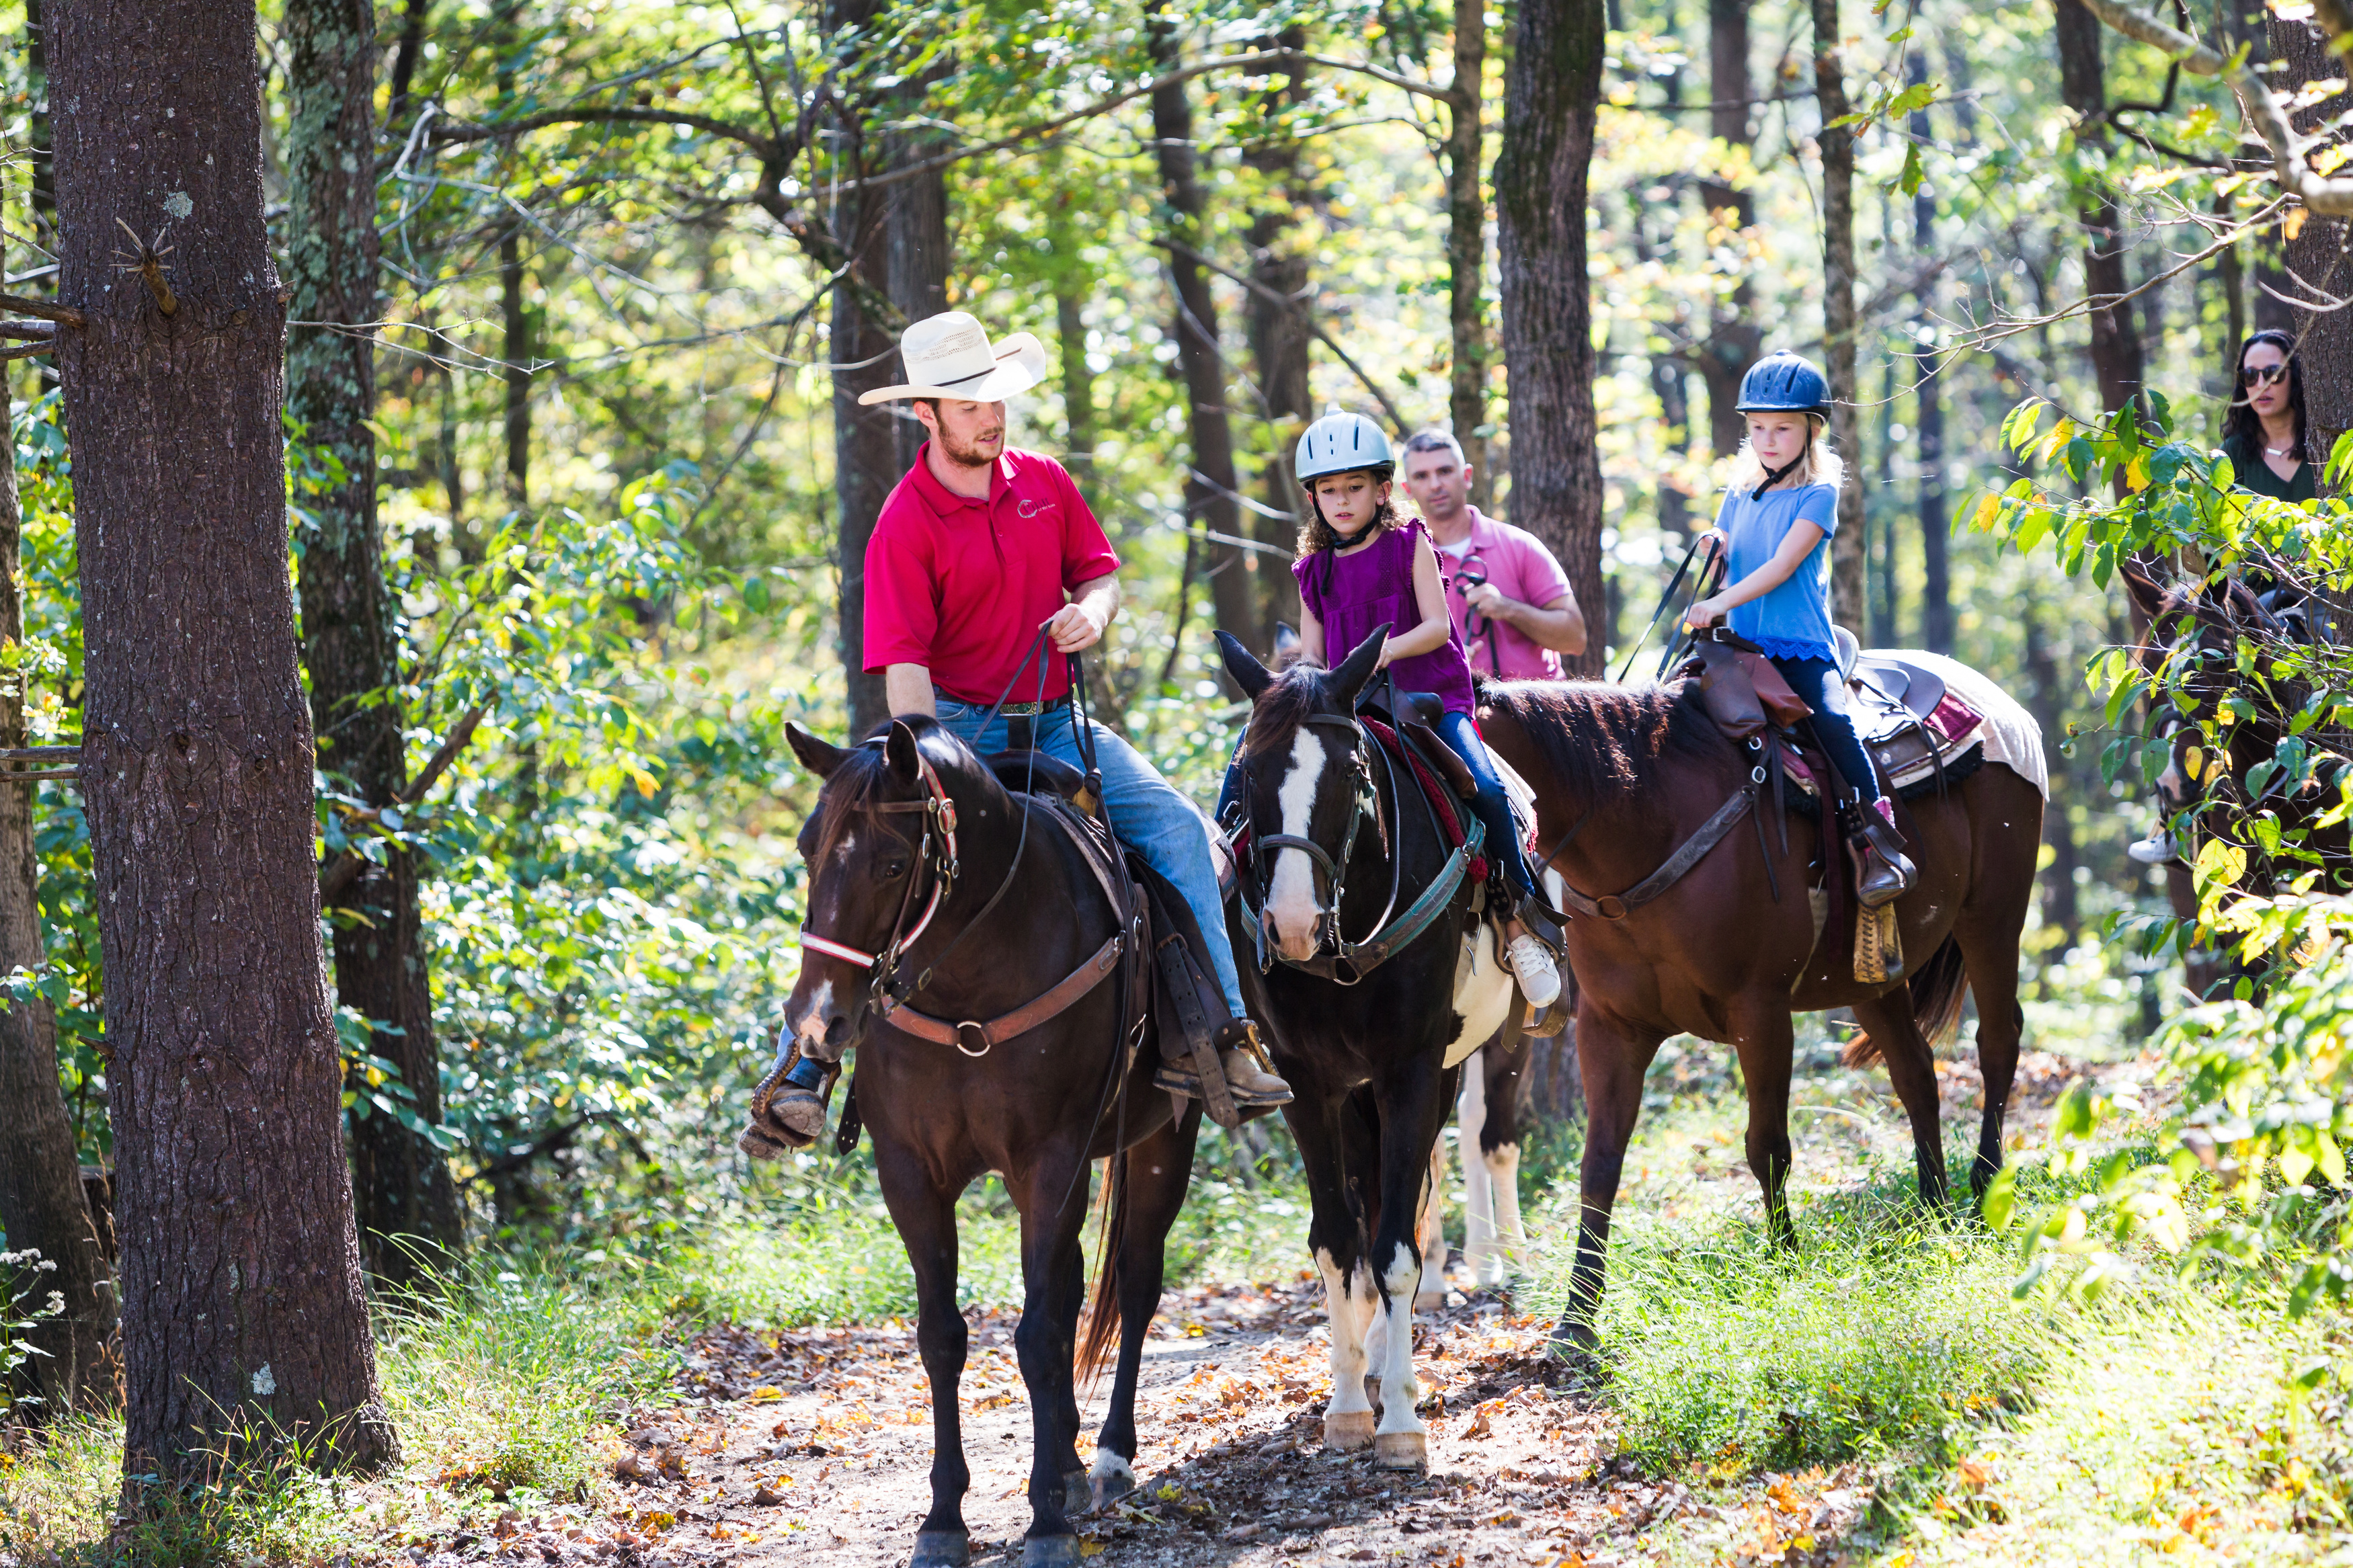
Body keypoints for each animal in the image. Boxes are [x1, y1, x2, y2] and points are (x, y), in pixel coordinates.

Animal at [781, 724, 1205, 1568]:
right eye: (809, 850)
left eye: (891, 863)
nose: (817, 1019)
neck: (966, 983)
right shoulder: (909, 1173)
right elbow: (942, 1335)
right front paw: (943, 1516)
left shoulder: (1050, 1160)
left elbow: (1039, 1334)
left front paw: (1045, 1521)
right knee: (1074, 1288)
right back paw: (1070, 1459)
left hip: (1163, 1137)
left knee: (1134, 1284)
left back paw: (1107, 1457)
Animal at [1214, 630, 1506, 1476]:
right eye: (1248, 770)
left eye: (1349, 774)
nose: (1290, 922)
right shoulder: (1309, 1085)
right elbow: (1337, 1240)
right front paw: (1346, 1406)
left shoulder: (1409, 1067)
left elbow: (1395, 1248)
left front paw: (1402, 1422)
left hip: (1449, 1064)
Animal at [1478, 667, 2052, 1344]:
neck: (1646, 821)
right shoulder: (1611, 1028)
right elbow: (1599, 1164)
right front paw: (1577, 1319)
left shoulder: (1761, 1013)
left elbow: (1767, 1146)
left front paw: (1784, 1265)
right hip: (1872, 976)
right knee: (1915, 1071)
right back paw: (1932, 1209)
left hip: (1992, 918)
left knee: (1998, 1043)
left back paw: (1985, 1188)